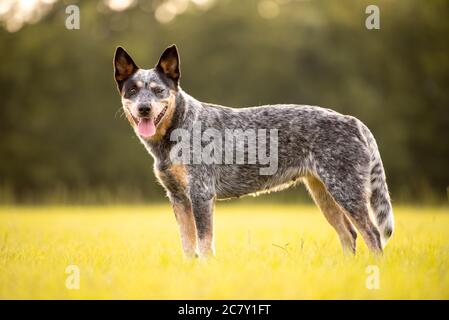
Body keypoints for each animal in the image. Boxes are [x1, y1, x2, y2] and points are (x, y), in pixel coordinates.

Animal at [112, 44, 392, 258]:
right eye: (132, 90)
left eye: (158, 90)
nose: (144, 108)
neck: (177, 131)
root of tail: (353, 121)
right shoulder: (178, 198)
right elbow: (187, 246)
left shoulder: (201, 194)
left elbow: (204, 244)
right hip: (324, 194)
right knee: (349, 235)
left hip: (346, 191)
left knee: (372, 234)